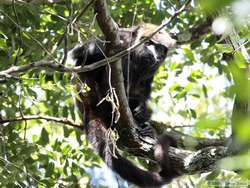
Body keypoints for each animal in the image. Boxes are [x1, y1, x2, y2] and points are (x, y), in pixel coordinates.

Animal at [69, 23, 177, 187]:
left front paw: (144, 112)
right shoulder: (121, 38)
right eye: (151, 44)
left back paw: (145, 125)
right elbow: (81, 53)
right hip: (95, 95)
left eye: (162, 49)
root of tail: (86, 108)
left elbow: (145, 86)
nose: (157, 55)